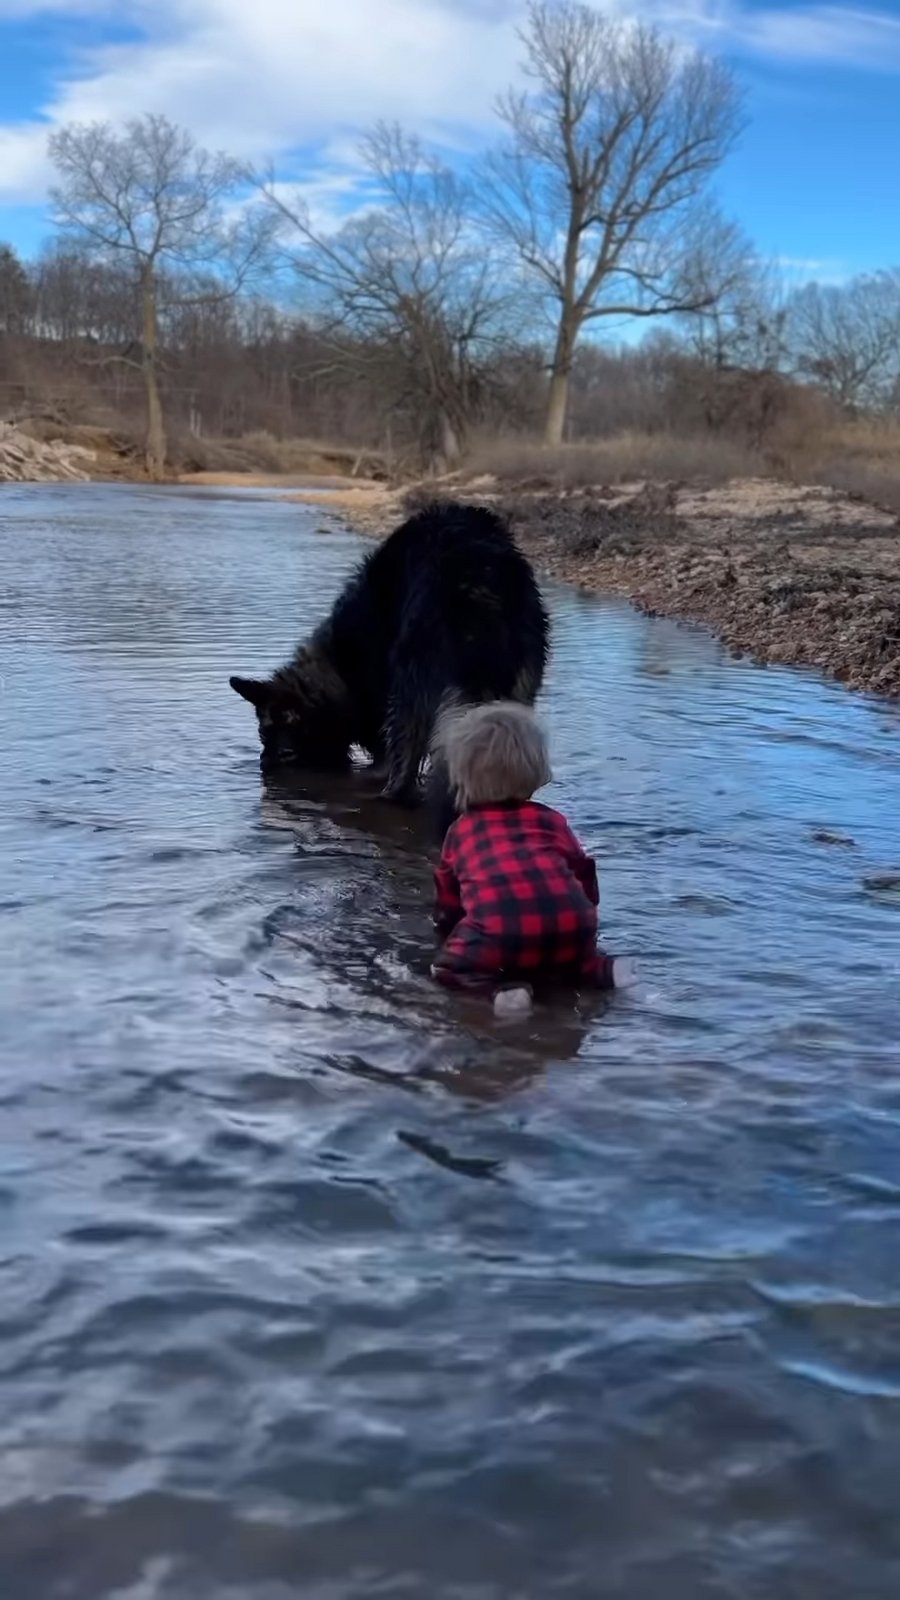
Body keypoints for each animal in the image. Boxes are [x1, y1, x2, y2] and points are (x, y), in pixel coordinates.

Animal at [227, 502, 547, 819]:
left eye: (285, 752)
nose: (262, 767)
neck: (339, 667)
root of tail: (480, 574)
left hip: (412, 680)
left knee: (405, 761)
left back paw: (389, 796)